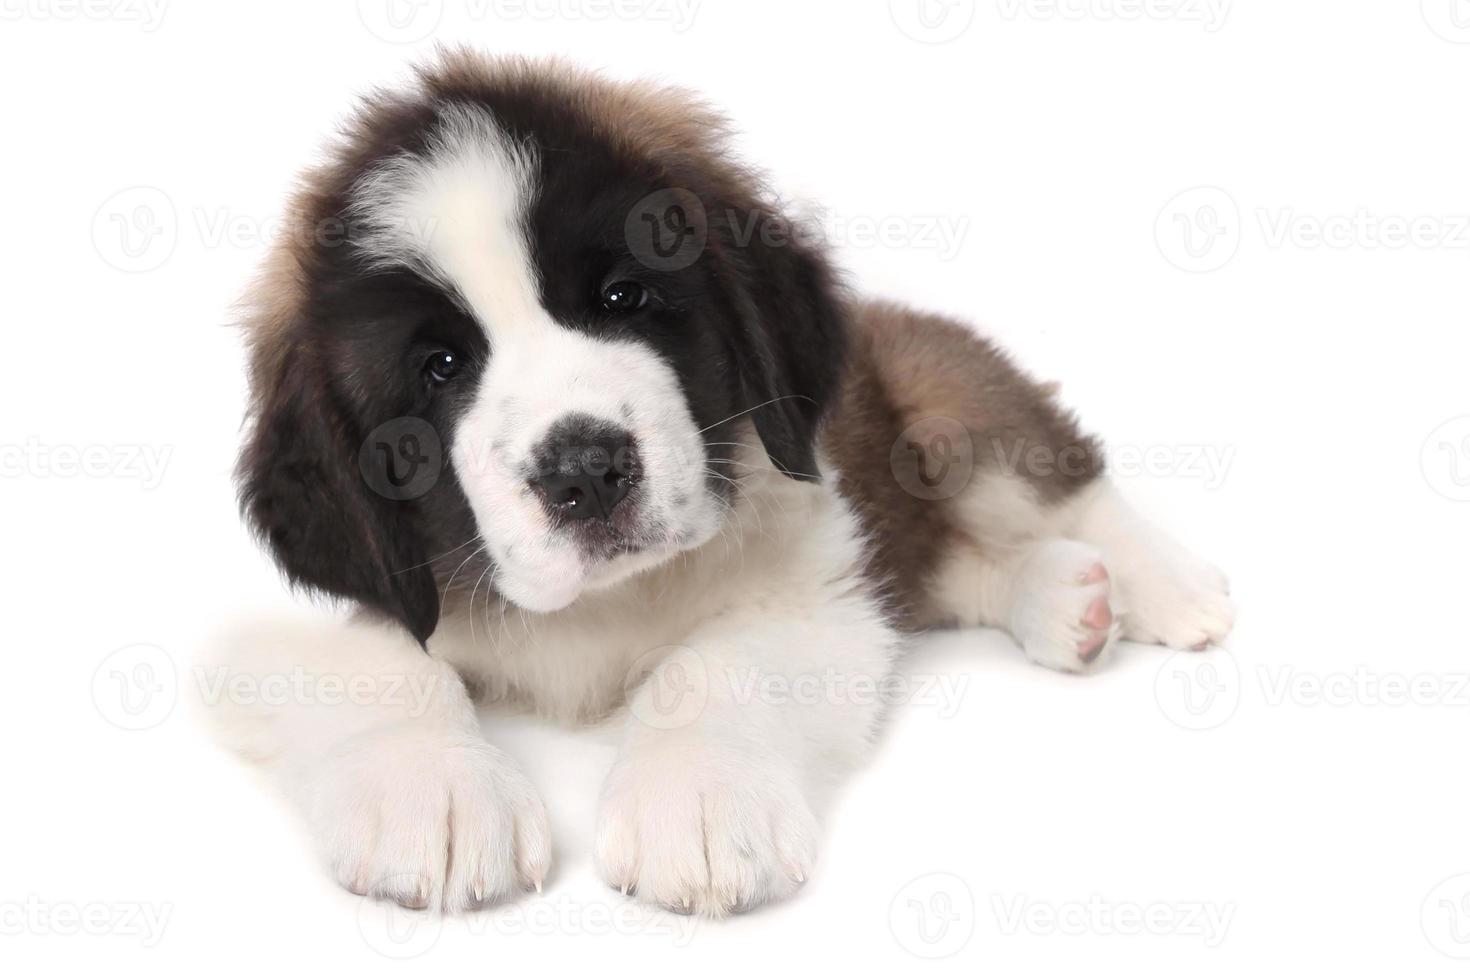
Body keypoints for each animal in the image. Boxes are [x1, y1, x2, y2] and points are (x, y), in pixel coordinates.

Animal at [207, 47, 1234, 922]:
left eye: (623, 297)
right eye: (440, 366)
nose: (586, 472)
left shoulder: (812, 573)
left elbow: (713, 666)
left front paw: (696, 798)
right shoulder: (269, 617)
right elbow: (380, 666)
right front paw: (439, 790)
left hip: (944, 397)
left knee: (1059, 479)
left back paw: (1166, 588)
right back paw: (1066, 600)